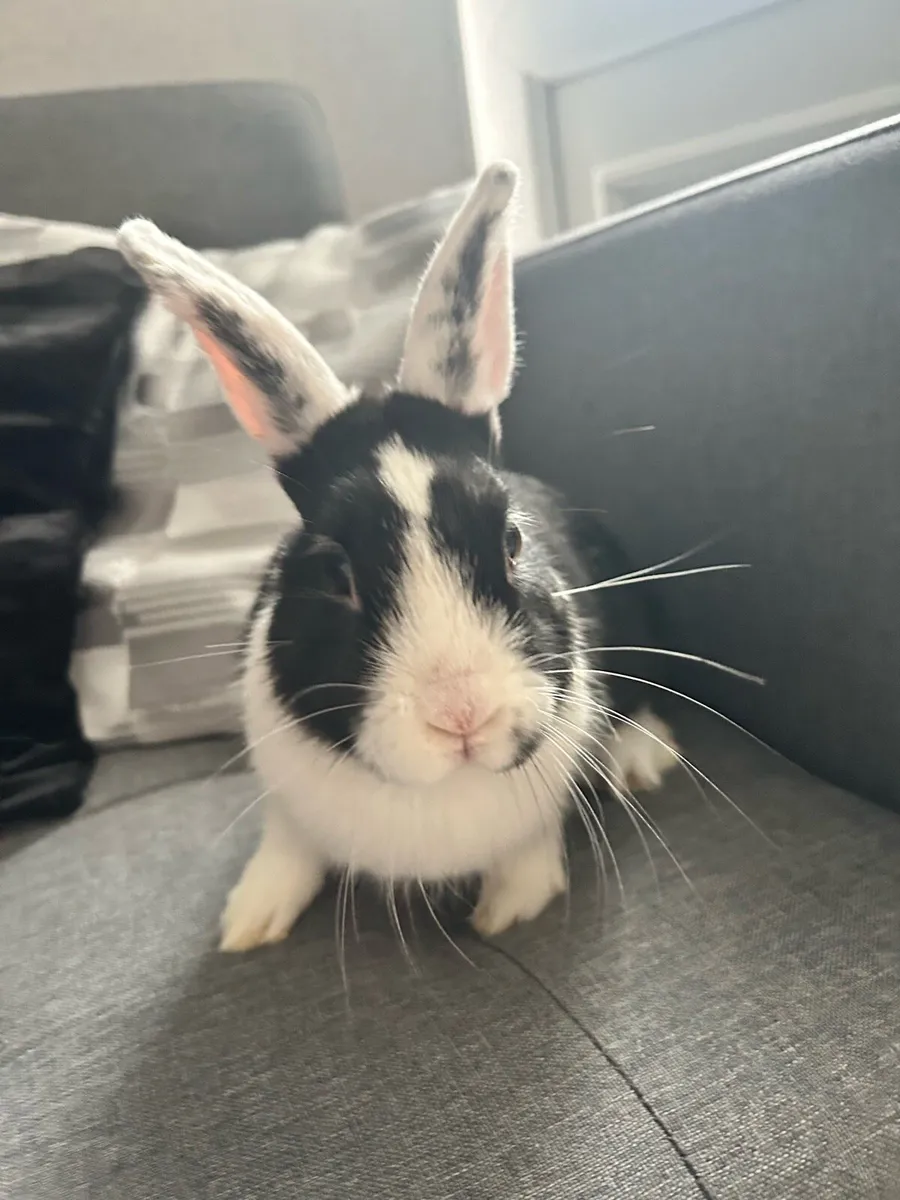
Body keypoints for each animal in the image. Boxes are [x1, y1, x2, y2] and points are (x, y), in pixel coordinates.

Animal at [117, 162, 679, 952]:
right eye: (335, 572)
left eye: (512, 540)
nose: (462, 717)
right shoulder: (286, 807)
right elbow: (286, 850)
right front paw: (249, 924)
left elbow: (528, 850)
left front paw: (510, 907)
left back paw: (641, 760)